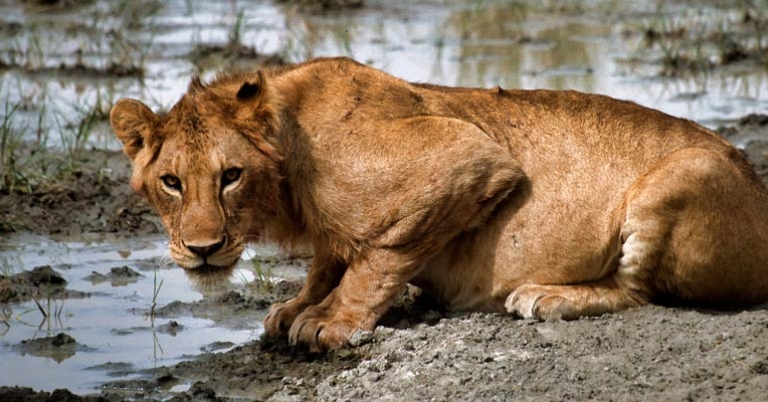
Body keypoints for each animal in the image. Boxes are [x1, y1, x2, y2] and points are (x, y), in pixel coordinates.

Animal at [110, 57, 768, 352]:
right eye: (171, 182)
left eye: (231, 176)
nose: (202, 250)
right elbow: (331, 258)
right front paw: (298, 304)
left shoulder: (470, 156)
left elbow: (376, 255)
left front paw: (330, 321)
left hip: (686, 173)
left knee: (639, 292)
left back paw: (547, 297)